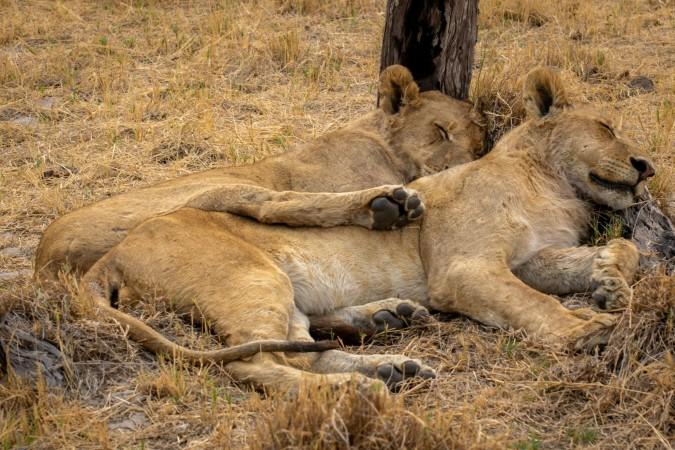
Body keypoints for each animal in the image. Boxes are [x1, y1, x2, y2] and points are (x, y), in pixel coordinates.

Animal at [35, 65, 485, 278]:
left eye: (479, 145)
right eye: (441, 131)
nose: (467, 165)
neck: (382, 141)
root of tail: (45, 258)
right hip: (215, 187)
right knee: (278, 204)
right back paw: (385, 206)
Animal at [76, 67, 655, 391]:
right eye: (606, 127)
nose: (646, 166)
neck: (555, 187)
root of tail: (111, 256)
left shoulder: (532, 258)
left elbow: (623, 250)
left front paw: (609, 281)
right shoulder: (465, 268)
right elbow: (533, 305)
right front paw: (587, 330)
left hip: (276, 291)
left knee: (303, 347)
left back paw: (390, 359)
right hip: (249, 276)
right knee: (254, 362)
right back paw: (356, 389)